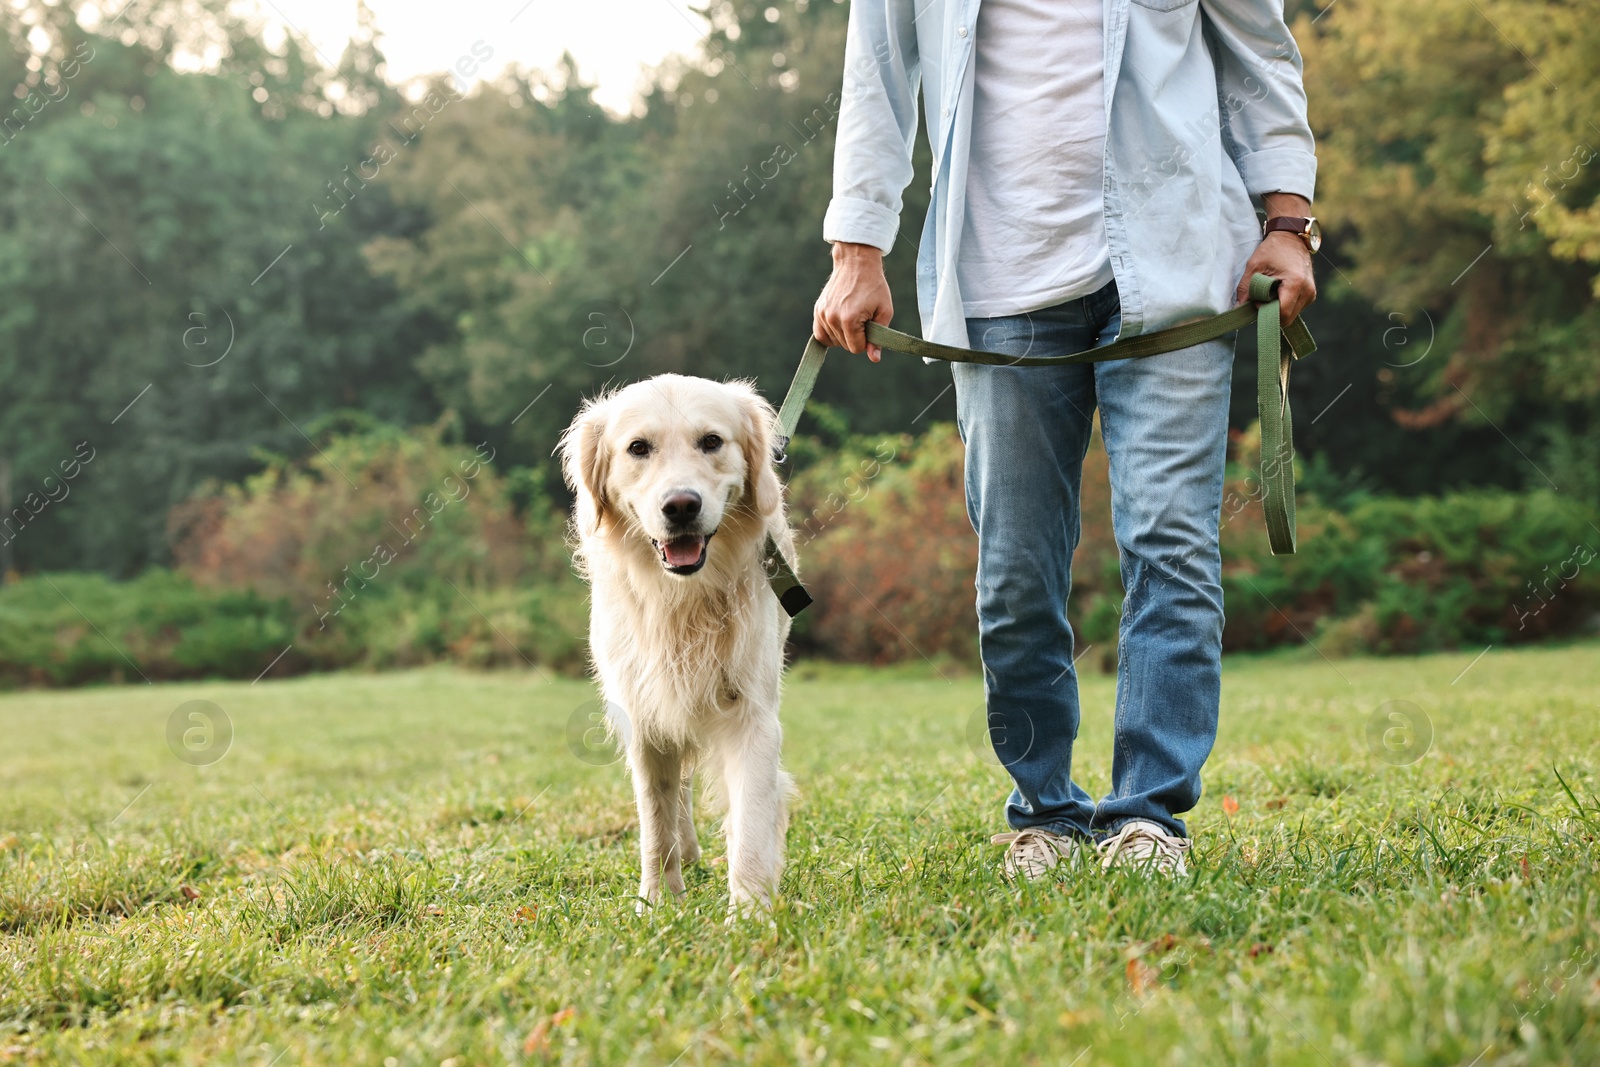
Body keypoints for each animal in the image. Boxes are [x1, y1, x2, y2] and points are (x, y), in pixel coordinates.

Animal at [560, 375, 796, 921]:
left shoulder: (752, 714)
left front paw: (749, 915)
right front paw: (656, 903)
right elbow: (656, 823)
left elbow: (751, 822)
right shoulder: (644, 717)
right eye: (638, 448)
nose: (681, 506)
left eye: (711, 441)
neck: (682, 601)